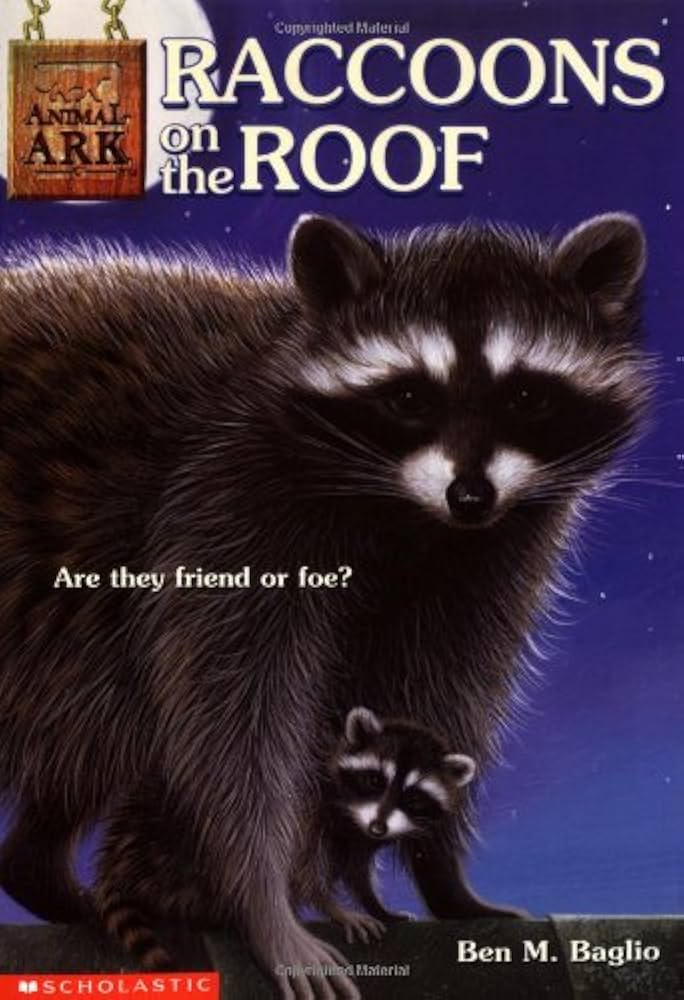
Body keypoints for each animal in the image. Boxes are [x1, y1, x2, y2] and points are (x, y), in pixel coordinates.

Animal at [0, 213, 651, 999]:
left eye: (527, 397)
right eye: (409, 398)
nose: (469, 496)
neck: (402, 513)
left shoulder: (485, 558)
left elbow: (443, 689)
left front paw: (443, 876)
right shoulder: (223, 502)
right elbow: (230, 719)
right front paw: (263, 899)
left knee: (86, 738)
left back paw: (38, 865)